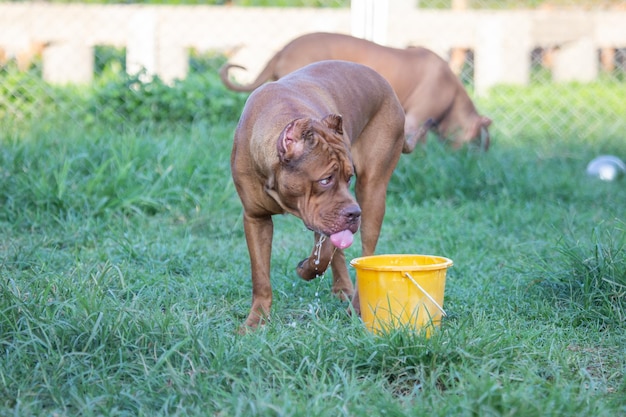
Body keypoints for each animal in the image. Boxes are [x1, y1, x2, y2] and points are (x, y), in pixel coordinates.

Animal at [230, 59, 404, 332]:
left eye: (348, 177)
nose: (354, 214)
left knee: (365, 255)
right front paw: (255, 322)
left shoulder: (327, 215)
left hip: (372, 191)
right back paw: (341, 288)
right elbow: (260, 275)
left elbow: (322, 254)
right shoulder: (256, 219)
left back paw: (355, 306)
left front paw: (305, 269)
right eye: (325, 179)